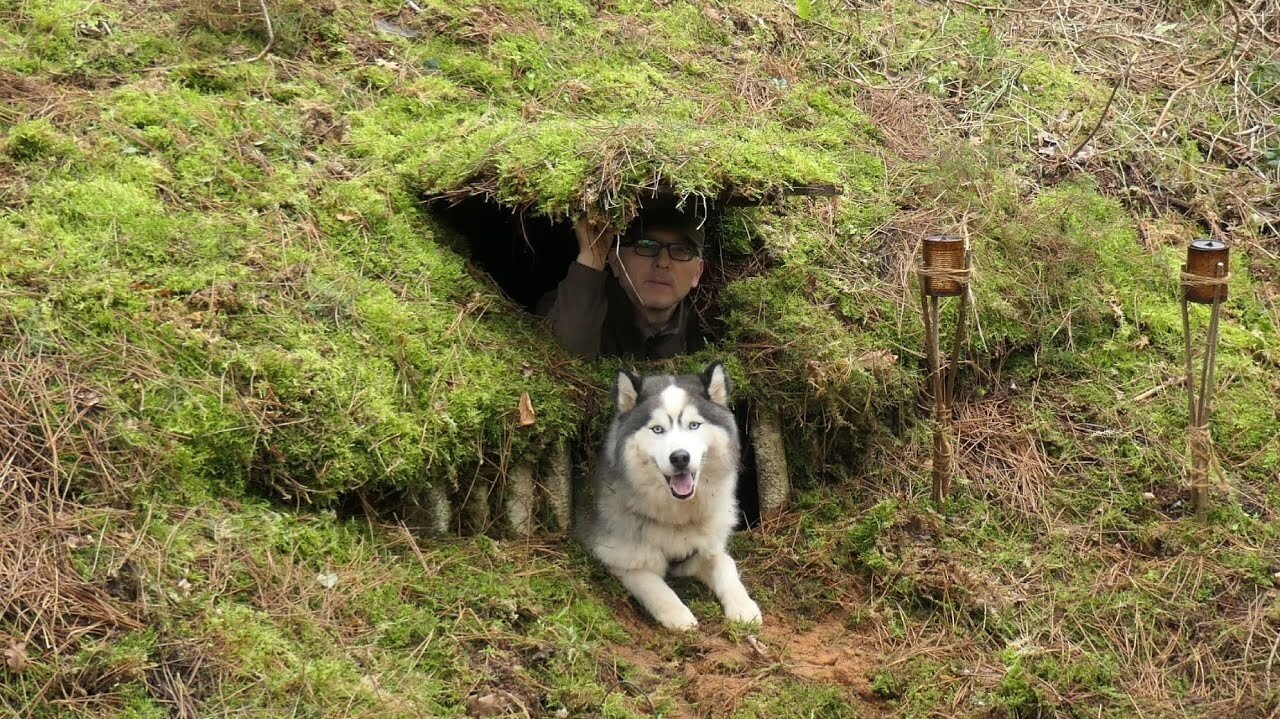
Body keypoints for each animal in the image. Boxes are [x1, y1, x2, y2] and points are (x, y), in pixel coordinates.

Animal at [586, 363, 762, 626]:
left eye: (694, 425)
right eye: (657, 429)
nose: (680, 457)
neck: (678, 518)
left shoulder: (707, 548)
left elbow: (726, 564)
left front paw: (743, 606)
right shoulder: (617, 559)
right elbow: (654, 586)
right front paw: (678, 615)